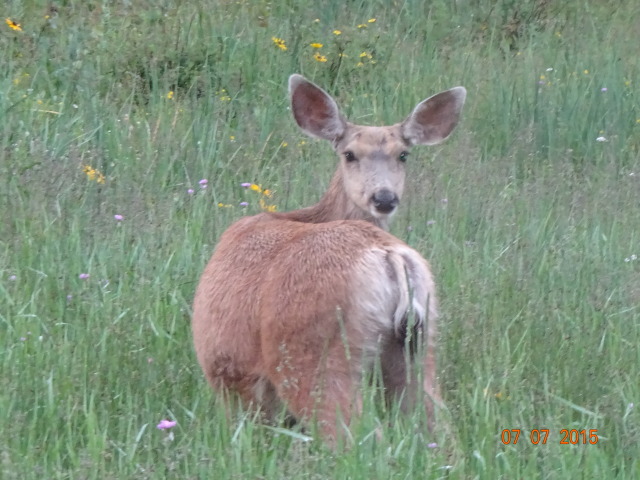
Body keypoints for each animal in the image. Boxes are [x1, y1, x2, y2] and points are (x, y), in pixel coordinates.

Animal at [192, 74, 466, 444]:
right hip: (420, 343)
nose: (384, 198)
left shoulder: (229, 373)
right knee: (440, 429)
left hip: (314, 355)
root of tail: (390, 255)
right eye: (349, 154)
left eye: (403, 155)